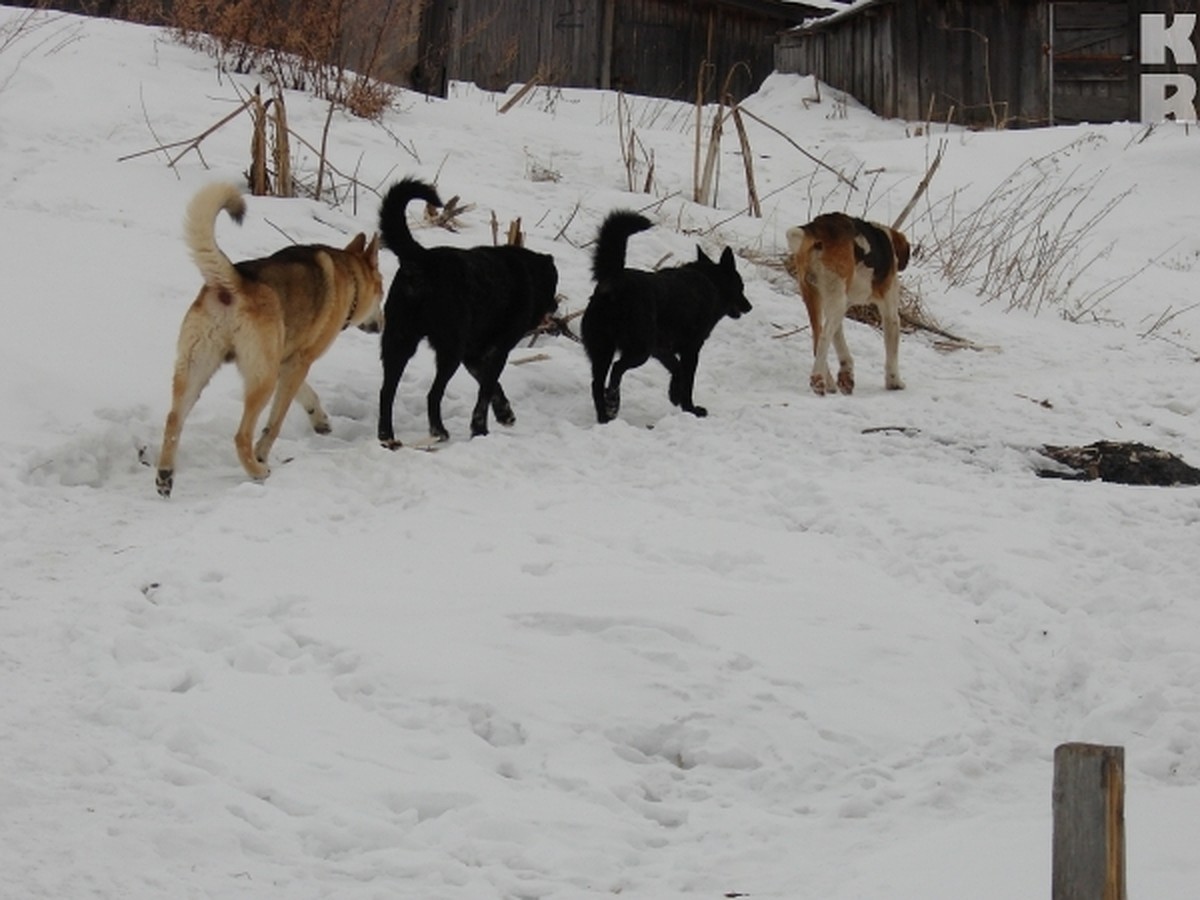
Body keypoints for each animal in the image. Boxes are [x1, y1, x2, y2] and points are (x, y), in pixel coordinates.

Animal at [154, 180, 379, 496]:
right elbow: (275, 422)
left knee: (174, 419)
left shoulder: (288, 362)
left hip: (196, 369)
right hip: (262, 379)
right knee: (241, 435)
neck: (350, 276)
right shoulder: (298, 363)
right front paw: (263, 453)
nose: (382, 324)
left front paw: (320, 420)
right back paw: (257, 470)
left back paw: (165, 475)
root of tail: (232, 283)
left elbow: (308, 394)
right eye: (382, 293)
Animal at [376, 178, 559, 448]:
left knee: (387, 392)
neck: (526, 272)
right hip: (448, 350)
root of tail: (422, 258)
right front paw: (480, 430)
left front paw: (505, 413)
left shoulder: (473, 353)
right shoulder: (496, 351)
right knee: (433, 394)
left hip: (399, 340)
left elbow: (491, 385)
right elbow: (485, 392)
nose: (556, 306)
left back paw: (387, 437)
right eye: (553, 284)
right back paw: (439, 431)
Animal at [580, 210, 748, 424]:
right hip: (638, 351)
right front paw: (690, 409)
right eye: (741, 287)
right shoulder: (691, 349)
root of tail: (615, 279)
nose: (749, 306)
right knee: (617, 369)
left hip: (603, 350)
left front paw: (674, 394)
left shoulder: (661, 349)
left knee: (596, 384)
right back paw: (613, 401)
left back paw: (605, 417)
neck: (711, 281)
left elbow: (677, 369)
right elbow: (687, 379)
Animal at [787, 213, 907, 396]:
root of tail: (817, 227)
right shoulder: (890, 314)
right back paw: (817, 379)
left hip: (816, 297)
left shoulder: (841, 305)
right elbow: (892, 355)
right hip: (836, 299)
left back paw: (828, 382)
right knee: (823, 338)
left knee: (817, 339)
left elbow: (840, 342)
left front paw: (846, 374)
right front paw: (894, 382)